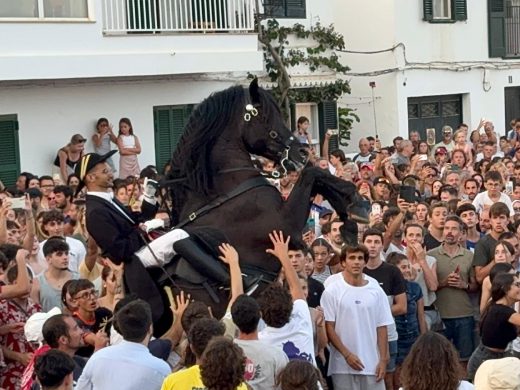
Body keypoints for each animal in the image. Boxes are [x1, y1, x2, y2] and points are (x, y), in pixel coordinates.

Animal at [167, 80, 366, 320]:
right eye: (264, 115)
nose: (302, 151)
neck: (225, 191)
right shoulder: (286, 224)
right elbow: (313, 174)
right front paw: (357, 203)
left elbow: (318, 178)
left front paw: (353, 211)